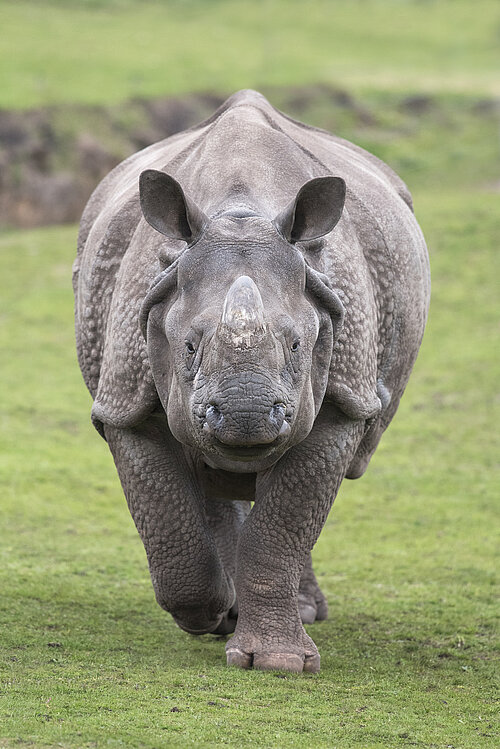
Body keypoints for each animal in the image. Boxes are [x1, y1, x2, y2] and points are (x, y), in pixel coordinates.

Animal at [73, 89, 430, 673]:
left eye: (297, 346)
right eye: (188, 347)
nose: (248, 416)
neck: (241, 211)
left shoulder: (345, 396)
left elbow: (287, 522)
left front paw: (279, 663)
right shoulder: (124, 395)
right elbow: (166, 516)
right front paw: (212, 613)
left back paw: (300, 613)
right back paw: (229, 612)